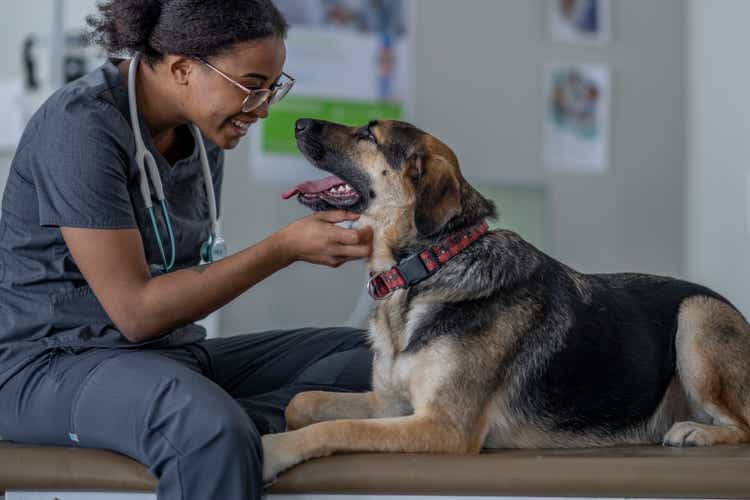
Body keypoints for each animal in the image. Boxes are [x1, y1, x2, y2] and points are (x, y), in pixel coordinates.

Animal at [262, 119, 748, 482]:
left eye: (369, 134)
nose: (298, 122)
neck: (430, 265)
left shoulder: (444, 425)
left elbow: (336, 427)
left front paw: (272, 450)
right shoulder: (390, 405)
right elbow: (302, 402)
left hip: (697, 315)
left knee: (743, 425)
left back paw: (695, 432)